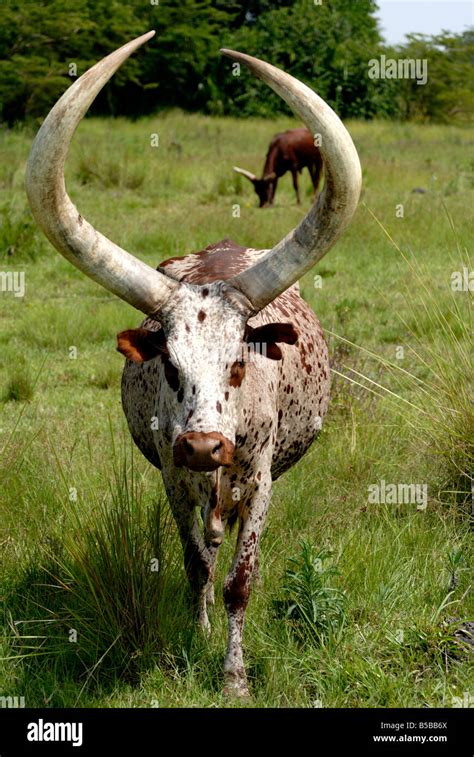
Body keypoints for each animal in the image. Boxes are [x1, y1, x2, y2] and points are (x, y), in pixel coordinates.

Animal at [25, 34, 362, 696]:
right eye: (170, 367)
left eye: (239, 363)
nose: (205, 445)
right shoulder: (172, 477)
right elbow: (197, 567)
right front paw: (198, 638)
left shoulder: (258, 477)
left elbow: (239, 580)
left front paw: (233, 676)